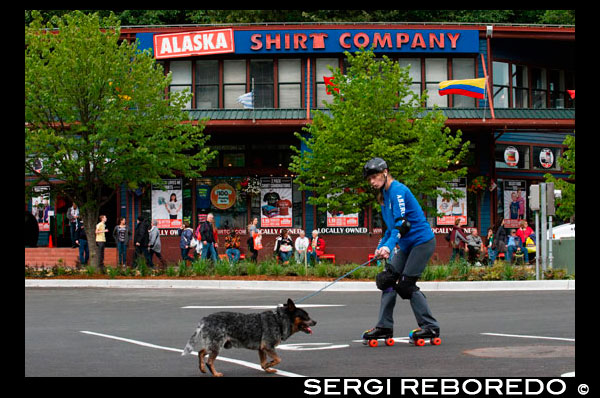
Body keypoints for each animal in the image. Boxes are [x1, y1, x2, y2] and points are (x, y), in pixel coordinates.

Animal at [182, 298, 314, 376]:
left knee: (201, 352)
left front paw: (267, 368)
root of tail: (205, 319)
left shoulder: (262, 349)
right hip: (216, 346)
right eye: (305, 316)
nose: (315, 322)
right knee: (209, 361)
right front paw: (269, 365)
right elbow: (278, 359)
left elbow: (263, 363)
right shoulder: (268, 346)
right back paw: (215, 373)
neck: (279, 320)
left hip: (213, 345)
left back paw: (202, 369)